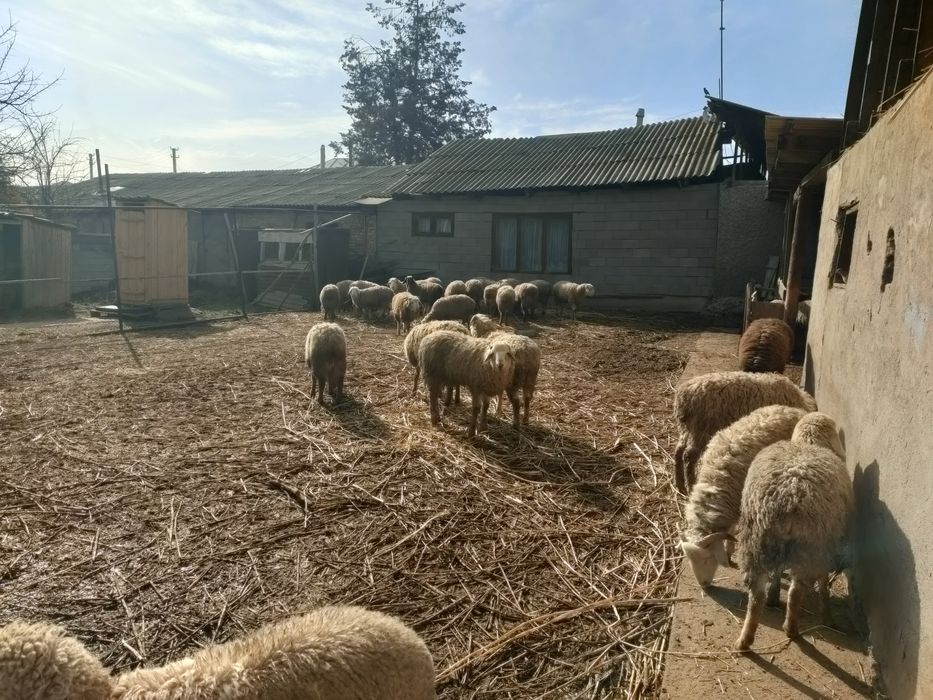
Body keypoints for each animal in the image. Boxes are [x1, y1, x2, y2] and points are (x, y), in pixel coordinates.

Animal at [672, 370, 818, 495]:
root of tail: (683, 397)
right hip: (701, 429)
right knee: (688, 456)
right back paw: (690, 486)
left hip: (687, 429)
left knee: (678, 451)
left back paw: (680, 485)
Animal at [680, 405, 808, 591]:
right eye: (690, 560)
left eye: (707, 558)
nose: (703, 585)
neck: (715, 481)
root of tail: (795, 409)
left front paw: (731, 551)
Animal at [734, 413, 852, 651]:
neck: (808, 444)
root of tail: (789, 495)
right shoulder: (826, 544)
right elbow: (823, 582)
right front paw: (827, 615)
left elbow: (778, 572)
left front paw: (773, 595)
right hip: (811, 545)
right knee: (796, 591)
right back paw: (792, 629)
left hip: (756, 540)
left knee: (756, 593)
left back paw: (746, 639)